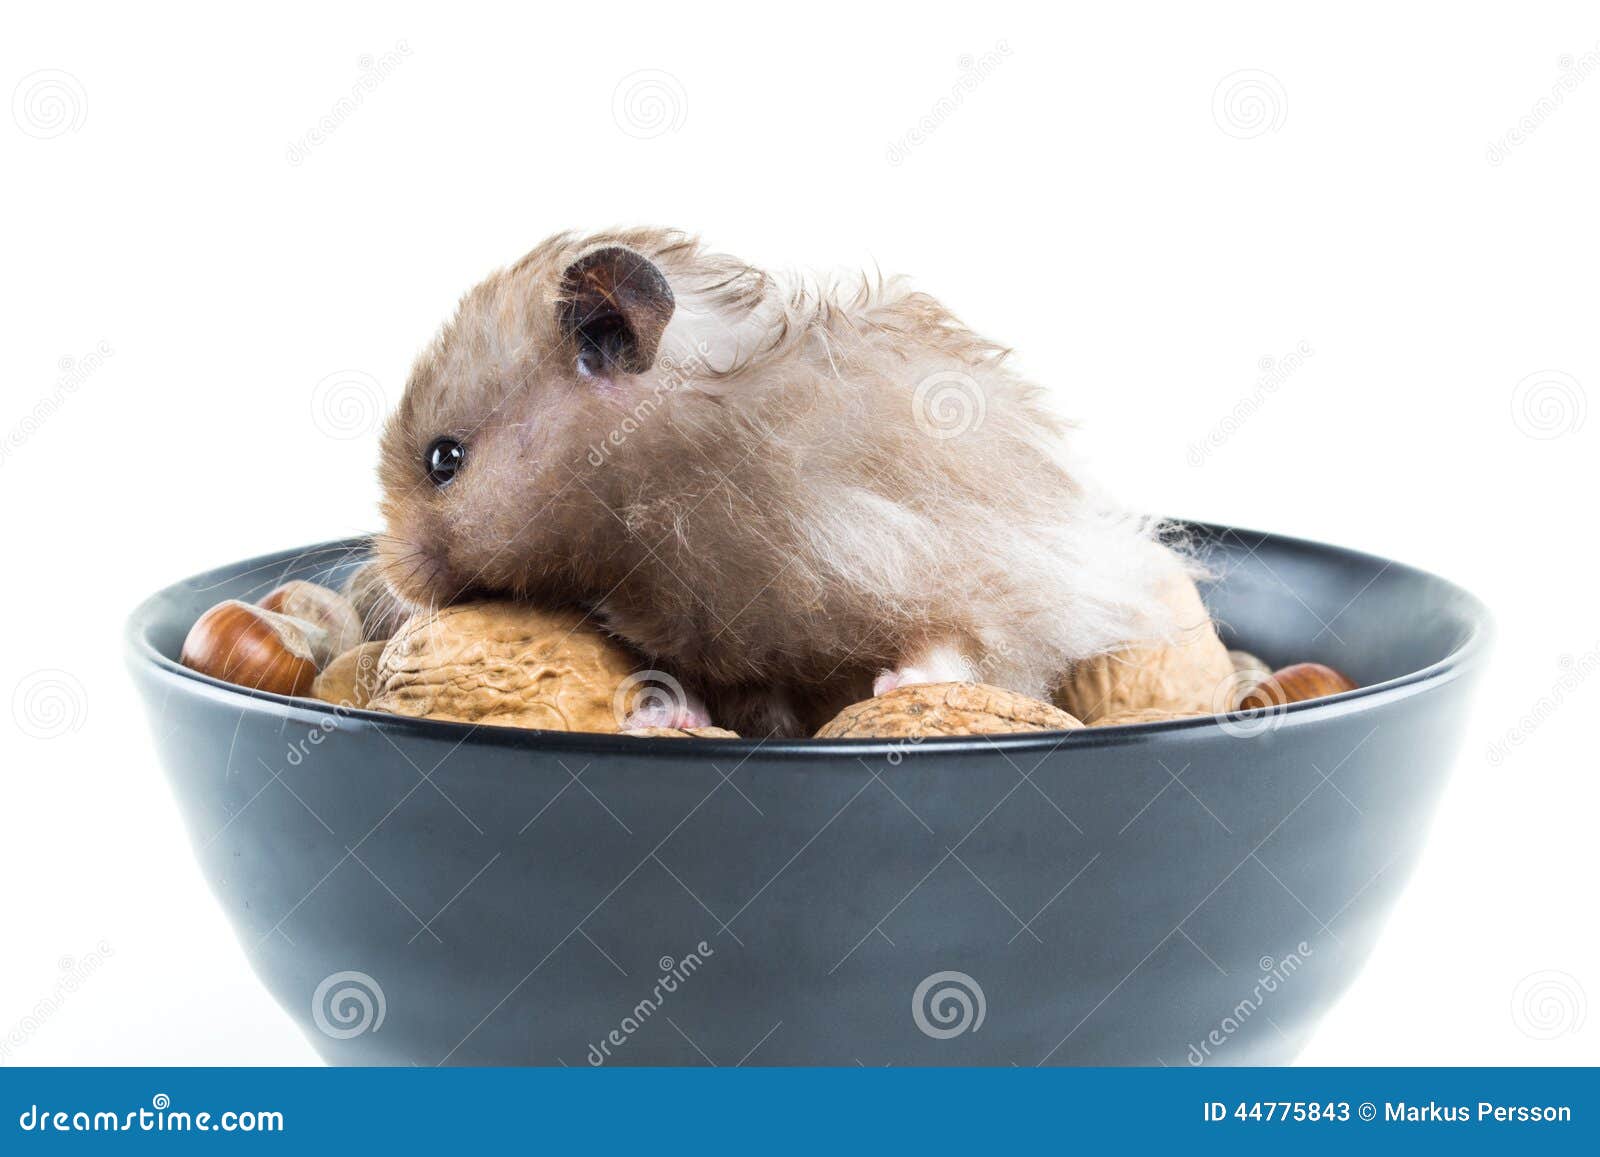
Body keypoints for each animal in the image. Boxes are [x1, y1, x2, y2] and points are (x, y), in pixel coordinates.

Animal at [375, 227, 1182, 737]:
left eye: (444, 460)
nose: (393, 582)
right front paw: (663, 716)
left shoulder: (936, 552)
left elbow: (965, 638)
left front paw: (898, 689)